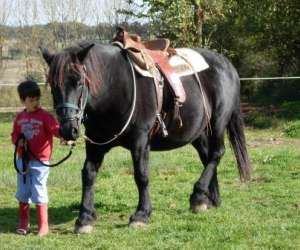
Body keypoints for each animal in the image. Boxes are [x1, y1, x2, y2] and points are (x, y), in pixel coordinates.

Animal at [40, 42, 251, 232]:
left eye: (79, 82)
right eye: (53, 86)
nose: (68, 129)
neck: (115, 87)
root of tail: (227, 65)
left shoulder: (140, 140)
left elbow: (141, 175)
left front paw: (141, 214)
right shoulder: (95, 143)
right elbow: (88, 174)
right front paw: (85, 217)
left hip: (218, 123)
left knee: (217, 153)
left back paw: (198, 195)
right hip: (198, 133)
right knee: (207, 157)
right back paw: (210, 199)